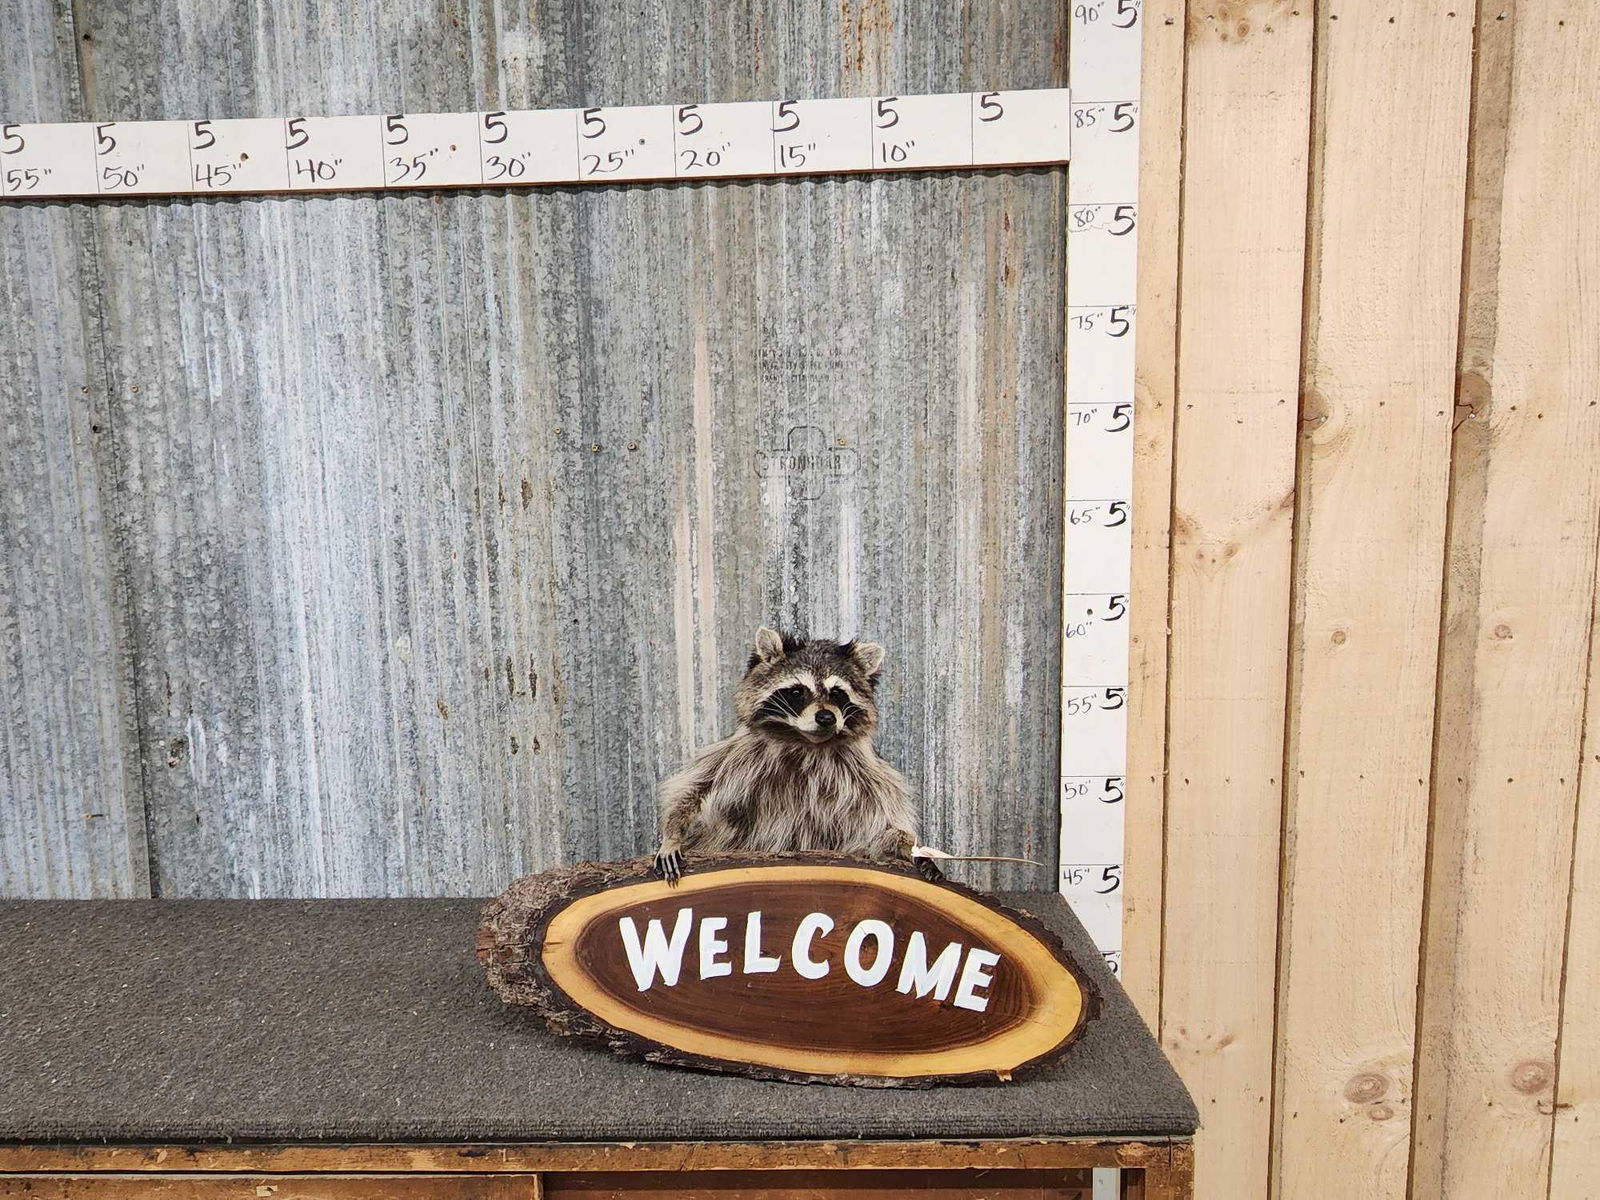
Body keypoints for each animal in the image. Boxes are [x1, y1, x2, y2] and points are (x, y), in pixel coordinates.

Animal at [652, 626, 941, 885]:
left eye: (837, 693)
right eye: (797, 691)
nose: (826, 717)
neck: (806, 741)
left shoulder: (866, 774)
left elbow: (885, 826)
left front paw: (910, 847)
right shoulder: (739, 755)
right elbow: (694, 789)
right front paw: (672, 833)